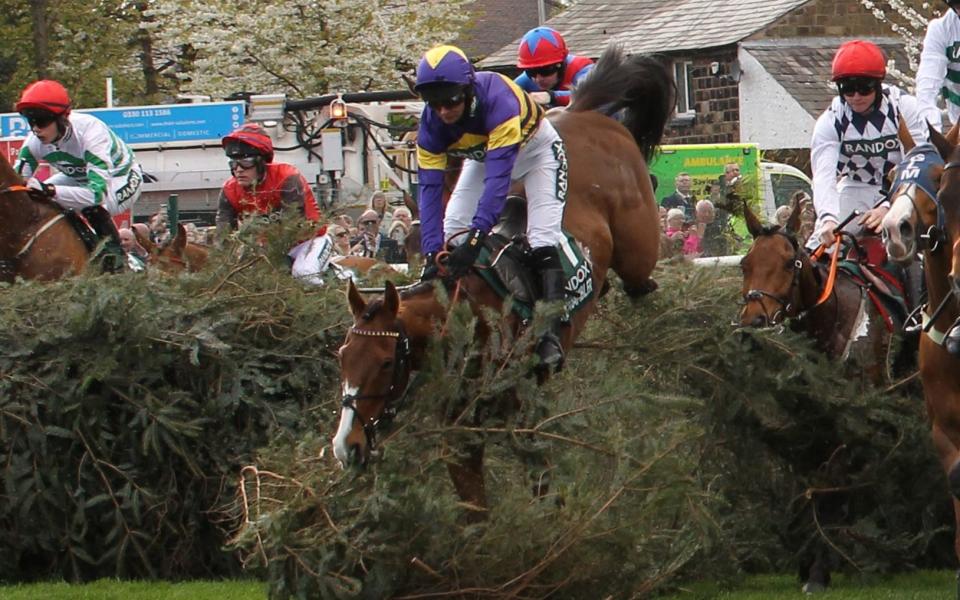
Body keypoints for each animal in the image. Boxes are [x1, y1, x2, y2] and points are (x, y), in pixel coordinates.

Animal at [330, 44, 668, 516]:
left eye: (383, 362)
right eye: (342, 357)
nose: (347, 446)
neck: (468, 325)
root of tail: (582, 111)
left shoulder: (524, 419)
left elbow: (544, 490)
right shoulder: (461, 443)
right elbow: (476, 515)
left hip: (630, 240)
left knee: (639, 280)